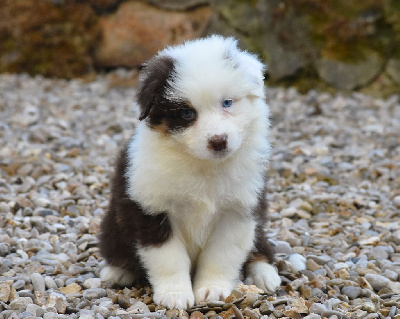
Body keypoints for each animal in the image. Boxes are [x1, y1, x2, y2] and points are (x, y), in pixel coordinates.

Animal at [99, 35, 282, 310]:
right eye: (187, 113)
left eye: (227, 103)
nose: (218, 141)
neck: (203, 166)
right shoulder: (151, 208)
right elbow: (168, 257)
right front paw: (175, 294)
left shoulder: (239, 209)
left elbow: (223, 254)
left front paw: (212, 289)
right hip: (114, 221)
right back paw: (117, 271)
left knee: (261, 247)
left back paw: (264, 275)